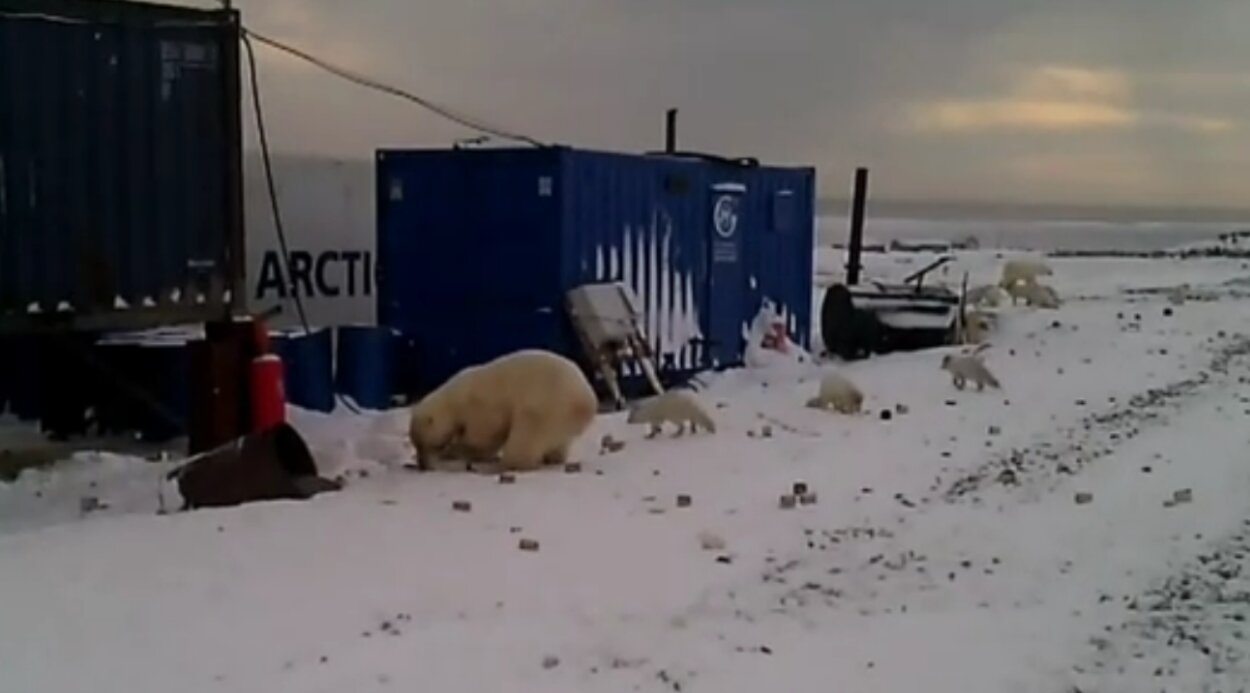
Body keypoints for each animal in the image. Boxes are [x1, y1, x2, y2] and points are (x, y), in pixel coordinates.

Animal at [407, 347, 597, 472]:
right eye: (415, 444)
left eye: (425, 445)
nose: (422, 465)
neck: (453, 398)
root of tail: (587, 401)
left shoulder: (480, 404)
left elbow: (483, 437)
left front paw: (457, 451)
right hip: (562, 420)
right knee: (559, 442)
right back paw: (553, 459)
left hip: (548, 406)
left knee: (524, 439)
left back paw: (500, 465)